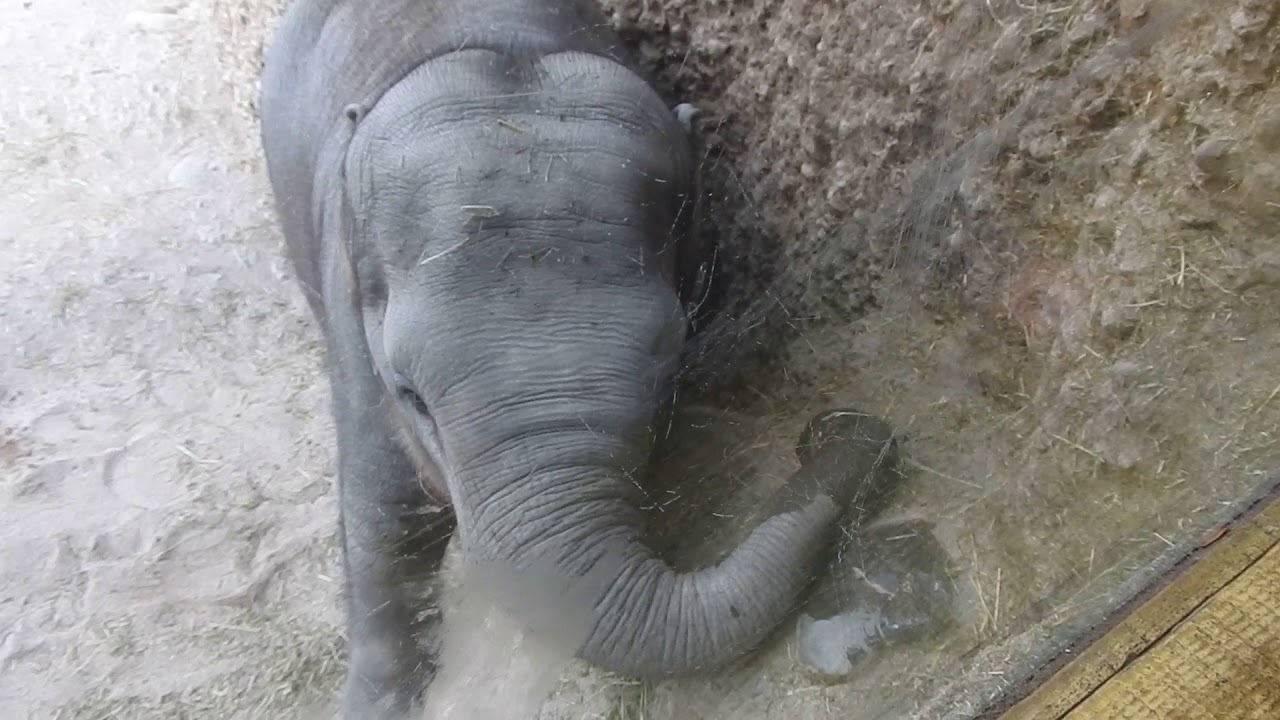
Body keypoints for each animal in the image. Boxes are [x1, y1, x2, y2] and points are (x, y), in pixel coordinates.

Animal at [258, 0, 900, 716]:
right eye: (409, 393)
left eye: (669, 368)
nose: (850, 430)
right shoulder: (352, 332)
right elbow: (380, 516)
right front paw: (375, 701)